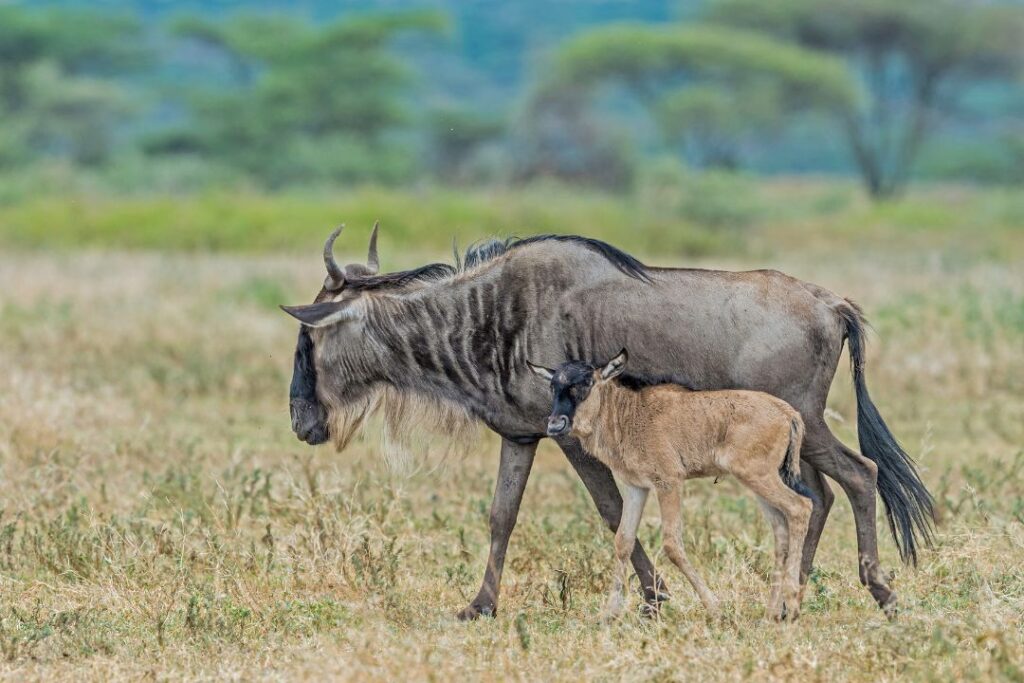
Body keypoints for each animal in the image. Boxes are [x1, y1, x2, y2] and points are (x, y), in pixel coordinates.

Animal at [532, 350, 811, 622]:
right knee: (781, 530)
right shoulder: (636, 488)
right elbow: (623, 541)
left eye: (587, 383)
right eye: (553, 386)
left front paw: (715, 608)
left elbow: (672, 544)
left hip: (759, 477)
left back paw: (793, 607)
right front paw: (608, 613)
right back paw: (771, 613)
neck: (629, 415)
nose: (555, 425)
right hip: (758, 483)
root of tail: (788, 413)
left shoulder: (668, 482)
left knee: (800, 507)